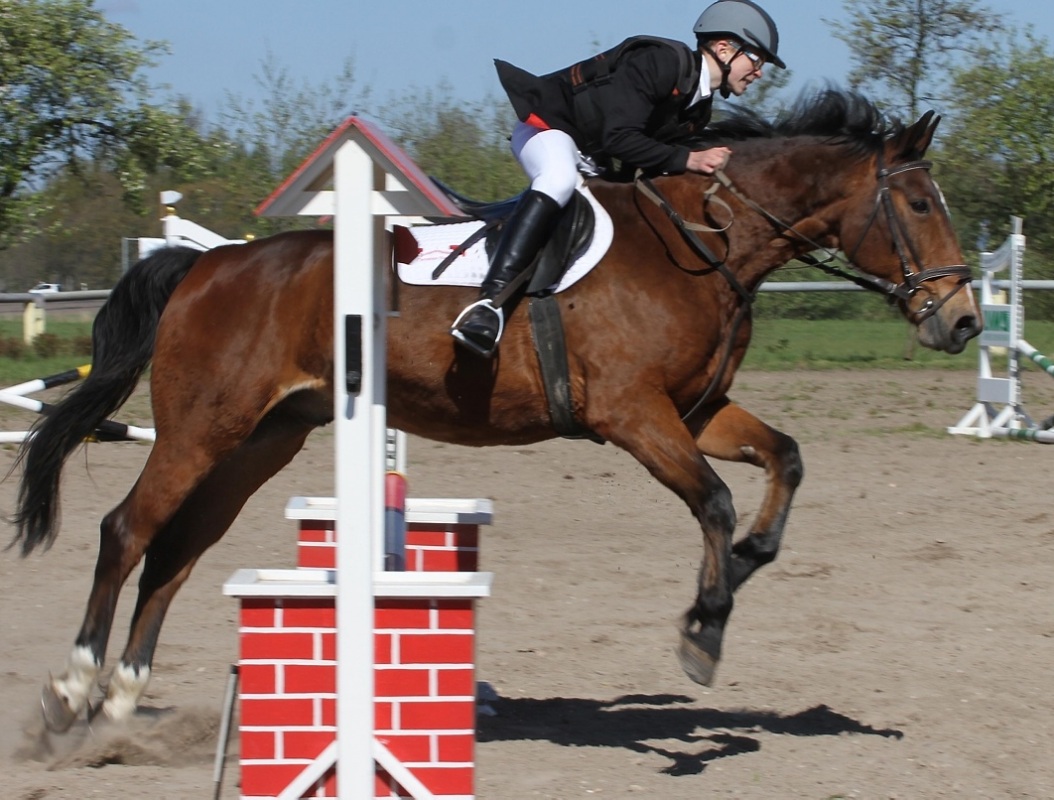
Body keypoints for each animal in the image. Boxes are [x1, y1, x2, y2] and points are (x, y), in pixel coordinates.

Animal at [10, 89, 978, 733]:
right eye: (918, 203)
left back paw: (125, 694)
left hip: (262, 440)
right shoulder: (633, 415)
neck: (704, 243)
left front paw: (732, 581)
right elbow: (714, 501)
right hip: (200, 429)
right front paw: (704, 631)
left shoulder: (696, 411)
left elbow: (783, 464)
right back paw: (74, 687)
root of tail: (209, 264)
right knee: (127, 530)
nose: (963, 321)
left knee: (176, 550)